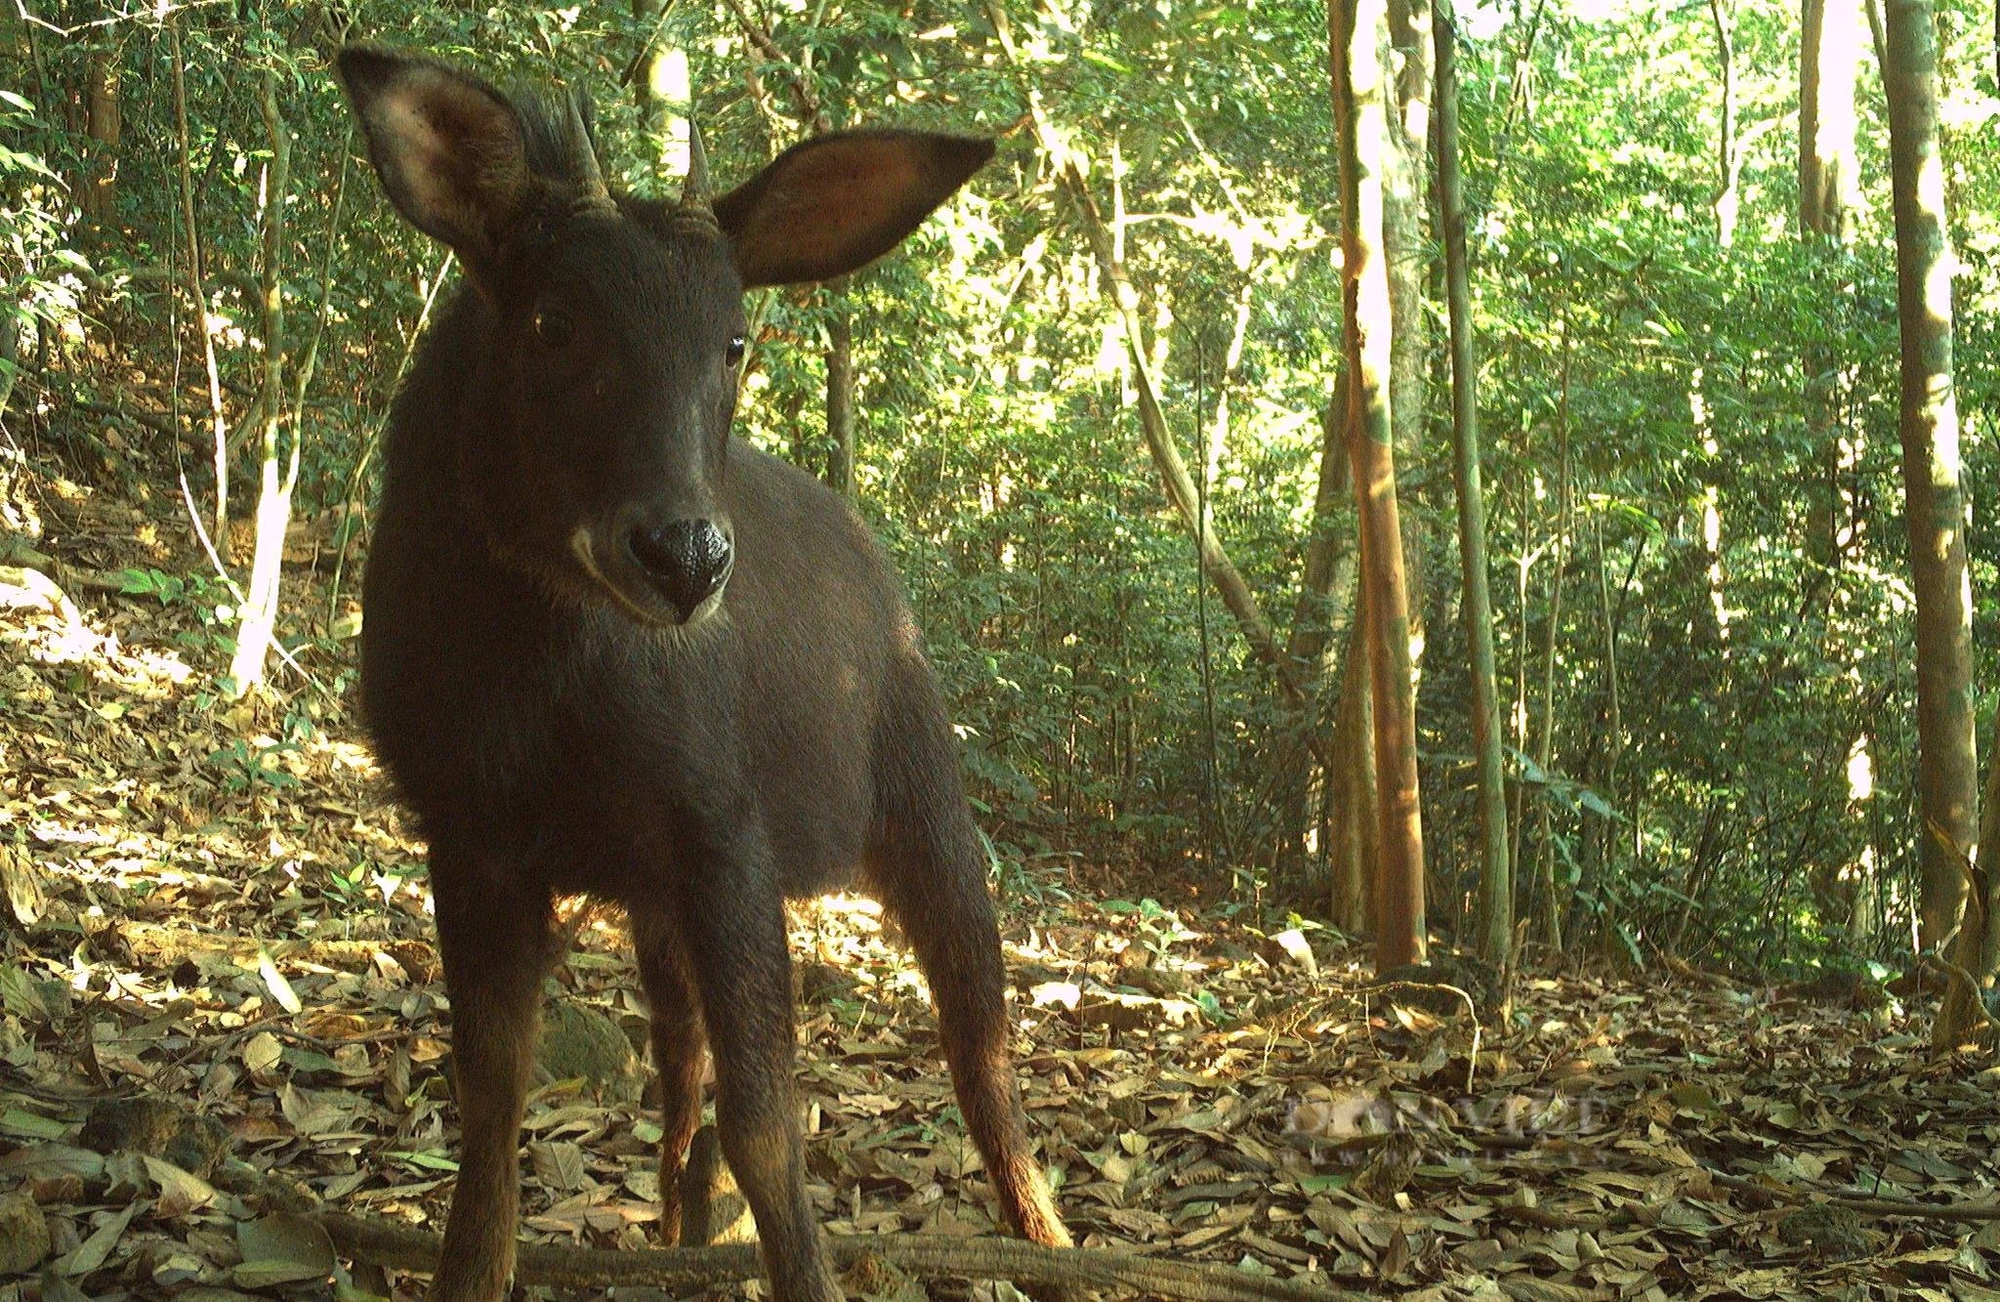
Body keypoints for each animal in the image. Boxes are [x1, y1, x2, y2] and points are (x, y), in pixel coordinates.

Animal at [336, 43, 1072, 1302]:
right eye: (552, 321)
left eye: (732, 340)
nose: (682, 555)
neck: (529, 694)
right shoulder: (469, 825)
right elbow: (493, 1099)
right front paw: (475, 1269)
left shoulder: (720, 817)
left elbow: (772, 1118)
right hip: (652, 889)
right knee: (680, 1056)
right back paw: (681, 1221)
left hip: (923, 803)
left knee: (977, 1038)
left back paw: (1050, 1238)